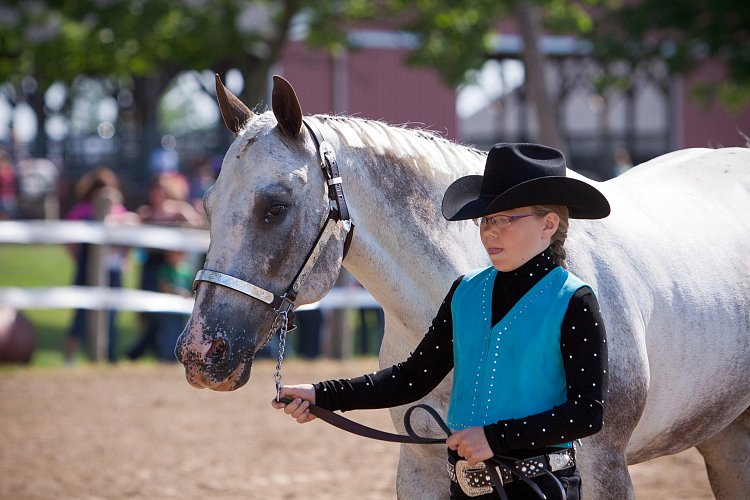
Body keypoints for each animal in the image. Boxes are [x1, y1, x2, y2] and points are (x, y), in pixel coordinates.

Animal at [179, 75, 750, 500]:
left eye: (274, 206)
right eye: (207, 204)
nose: (199, 352)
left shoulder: (604, 467)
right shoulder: (422, 464)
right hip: (726, 438)